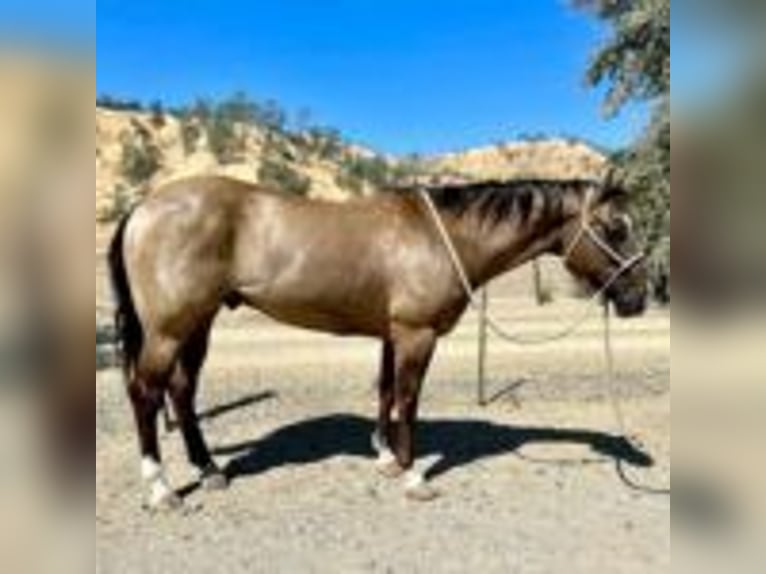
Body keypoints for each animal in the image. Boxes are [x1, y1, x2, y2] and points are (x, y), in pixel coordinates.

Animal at [108, 173, 648, 509]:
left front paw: (386, 459)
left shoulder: (393, 335)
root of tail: (144, 208)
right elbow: (408, 401)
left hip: (198, 323)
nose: (638, 297)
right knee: (146, 393)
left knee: (182, 391)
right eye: (614, 228)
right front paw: (413, 477)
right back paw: (161, 490)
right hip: (169, 329)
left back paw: (210, 470)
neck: (442, 235)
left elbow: (387, 393)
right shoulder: (416, 335)